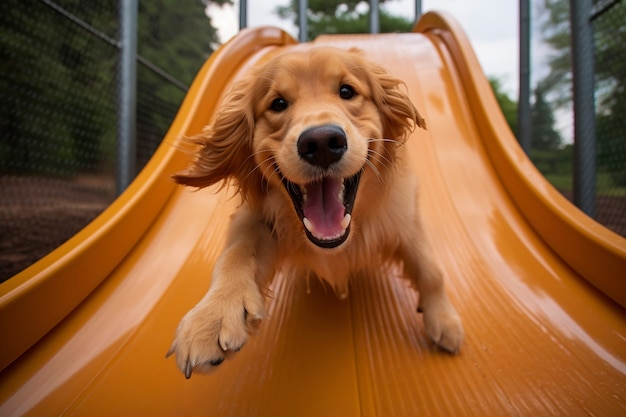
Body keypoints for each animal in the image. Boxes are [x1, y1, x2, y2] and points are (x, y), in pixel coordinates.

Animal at [168, 45, 460, 376]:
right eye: (278, 103)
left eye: (347, 91)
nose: (321, 143)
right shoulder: (258, 220)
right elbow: (236, 254)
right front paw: (213, 315)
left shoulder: (405, 218)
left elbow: (431, 269)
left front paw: (443, 319)